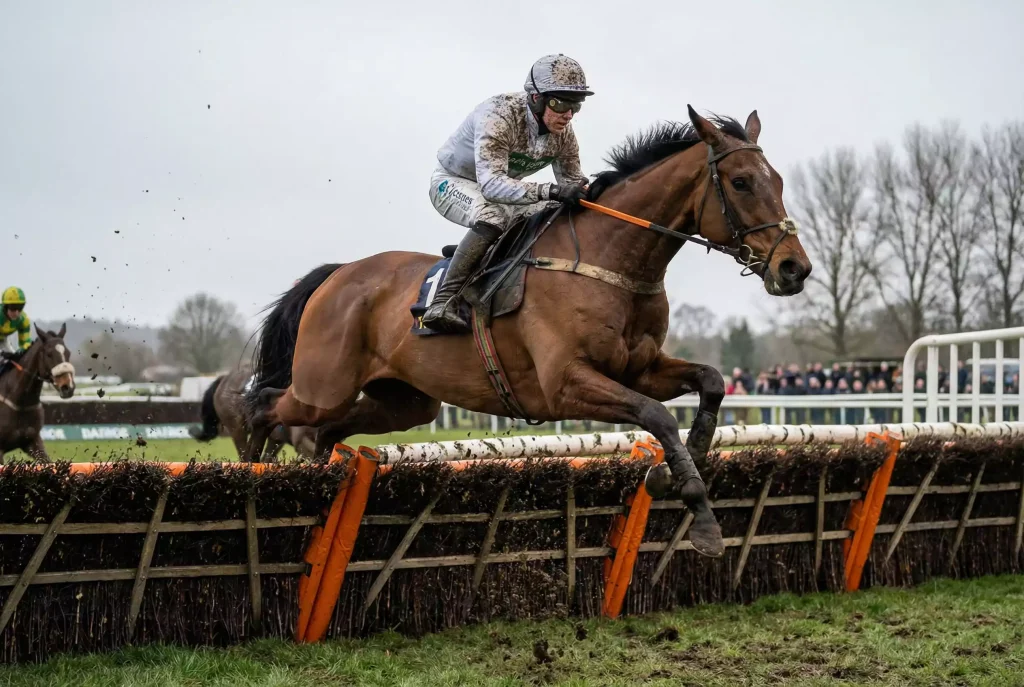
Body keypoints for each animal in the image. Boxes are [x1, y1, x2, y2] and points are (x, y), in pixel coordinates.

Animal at [243, 107, 812, 558]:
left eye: (780, 181)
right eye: (741, 182)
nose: (794, 269)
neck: (612, 261)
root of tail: (337, 274)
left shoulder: (641, 368)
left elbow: (711, 382)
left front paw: (676, 467)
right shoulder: (564, 383)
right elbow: (657, 418)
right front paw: (701, 516)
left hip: (404, 403)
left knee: (329, 433)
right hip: (323, 386)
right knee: (267, 408)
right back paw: (252, 468)